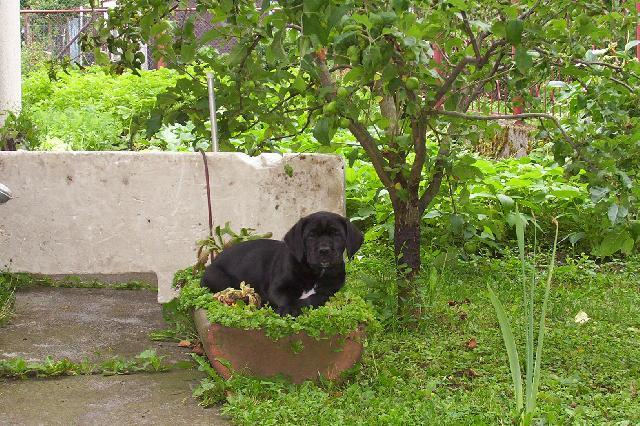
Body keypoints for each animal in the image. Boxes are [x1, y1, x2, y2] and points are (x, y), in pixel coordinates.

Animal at [201, 211, 360, 316]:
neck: (315, 272)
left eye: (337, 234)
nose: (324, 250)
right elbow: (286, 298)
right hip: (221, 279)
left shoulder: (329, 292)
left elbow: (313, 299)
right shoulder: (277, 288)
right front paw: (287, 310)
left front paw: (297, 306)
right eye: (311, 236)